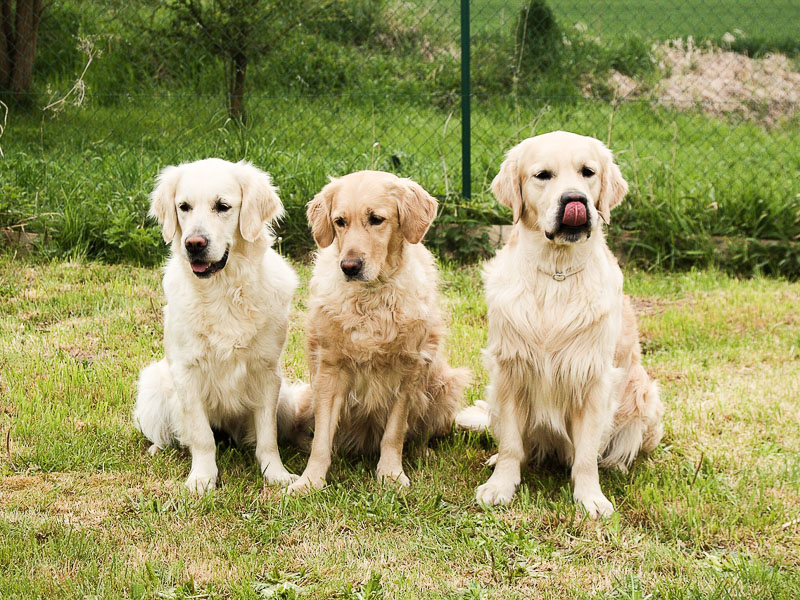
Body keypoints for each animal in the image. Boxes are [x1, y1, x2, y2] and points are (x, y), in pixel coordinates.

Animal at [456, 134, 664, 516]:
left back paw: (617, 465)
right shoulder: (510, 371)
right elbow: (511, 444)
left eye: (588, 172)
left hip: (645, 395)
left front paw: (591, 497)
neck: (557, 273)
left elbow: (586, 455)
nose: (575, 201)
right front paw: (500, 485)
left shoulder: (593, 378)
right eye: (543, 175)